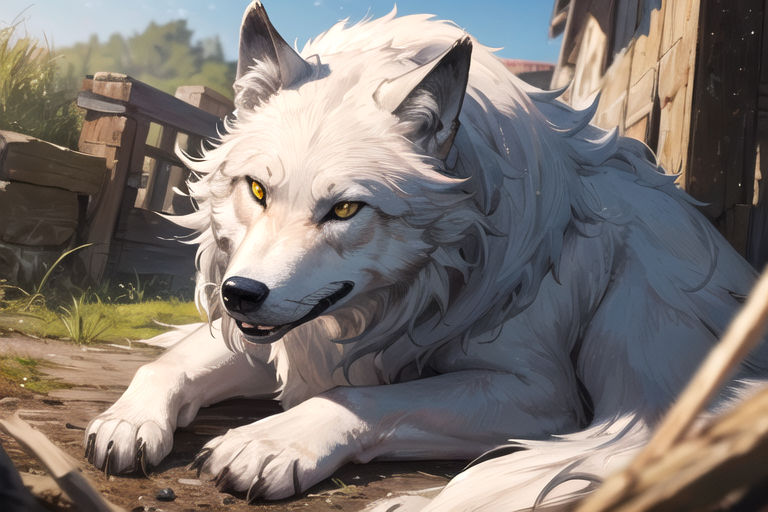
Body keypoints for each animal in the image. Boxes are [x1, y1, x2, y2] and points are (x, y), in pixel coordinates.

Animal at [84, 2, 768, 510]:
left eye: (345, 209)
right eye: (256, 189)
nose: (239, 295)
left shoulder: (540, 392)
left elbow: (362, 399)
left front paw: (270, 442)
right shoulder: (293, 339)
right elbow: (169, 365)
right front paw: (129, 420)